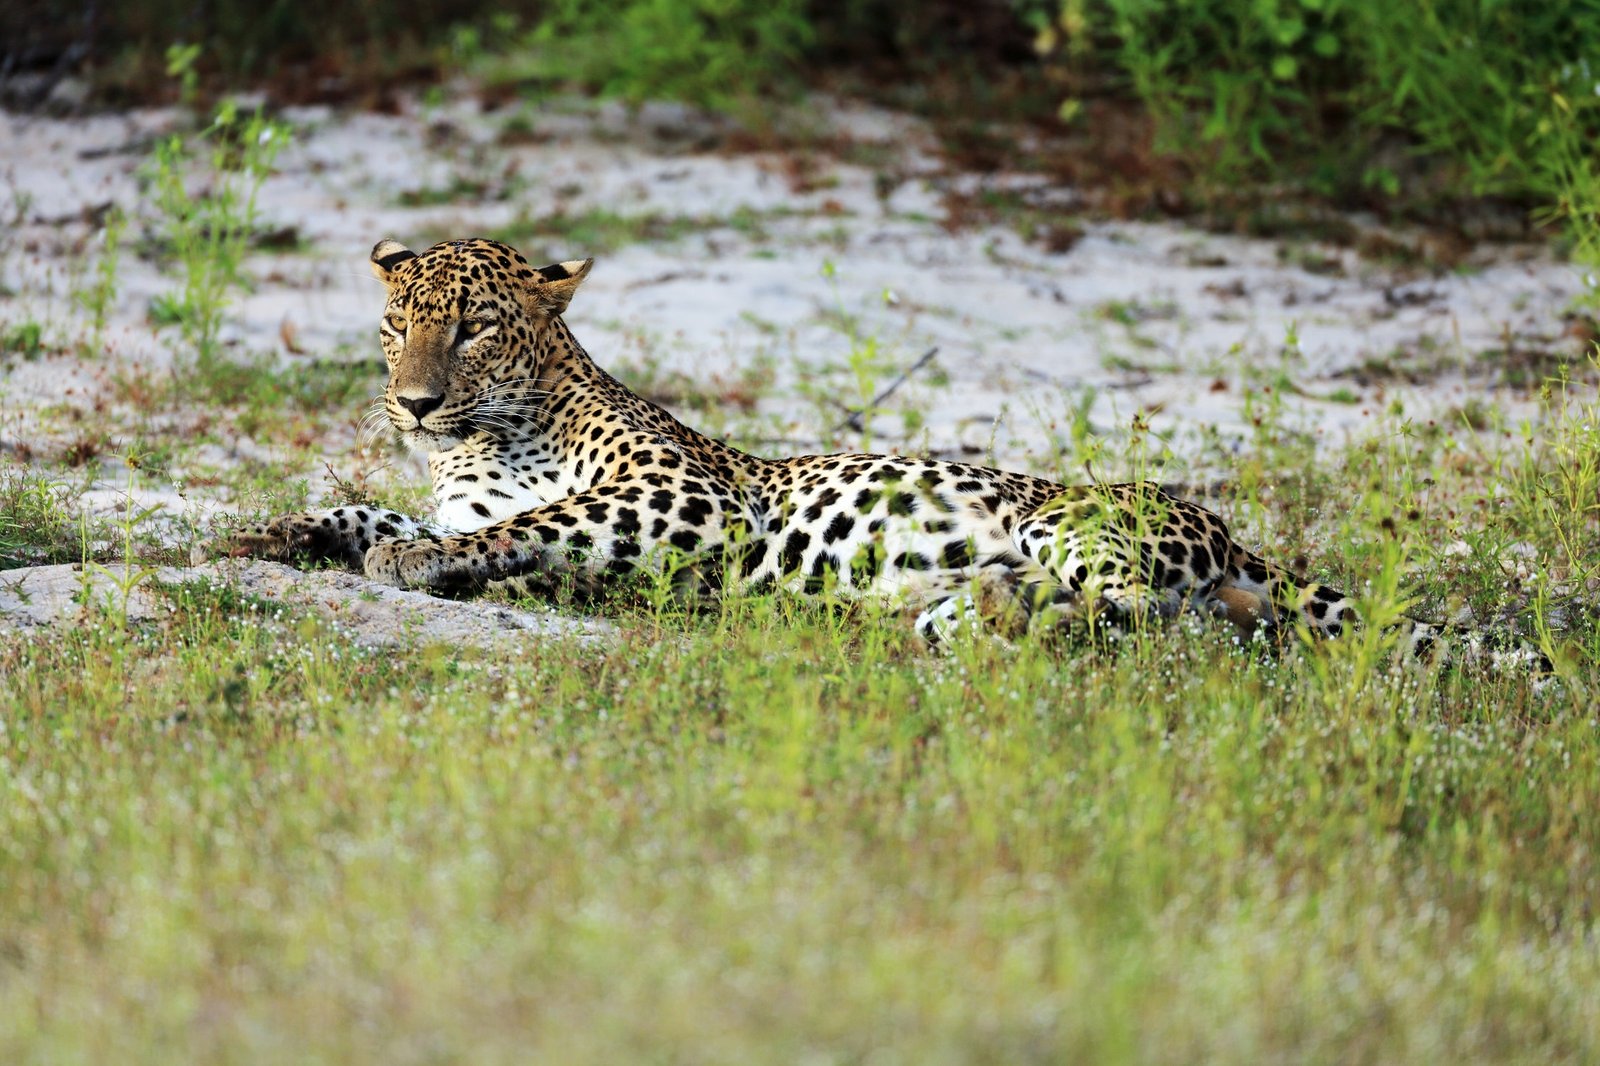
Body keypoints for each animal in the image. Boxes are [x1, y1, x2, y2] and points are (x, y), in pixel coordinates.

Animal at [225, 236, 1452, 653]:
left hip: (1073, 521)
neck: (478, 445)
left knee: (1144, 613)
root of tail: (1238, 537)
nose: (412, 404)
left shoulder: (689, 501)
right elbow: (384, 512)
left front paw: (412, 560)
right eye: (397, 326)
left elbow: (534, 520)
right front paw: (280, 532)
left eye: (474, 327)